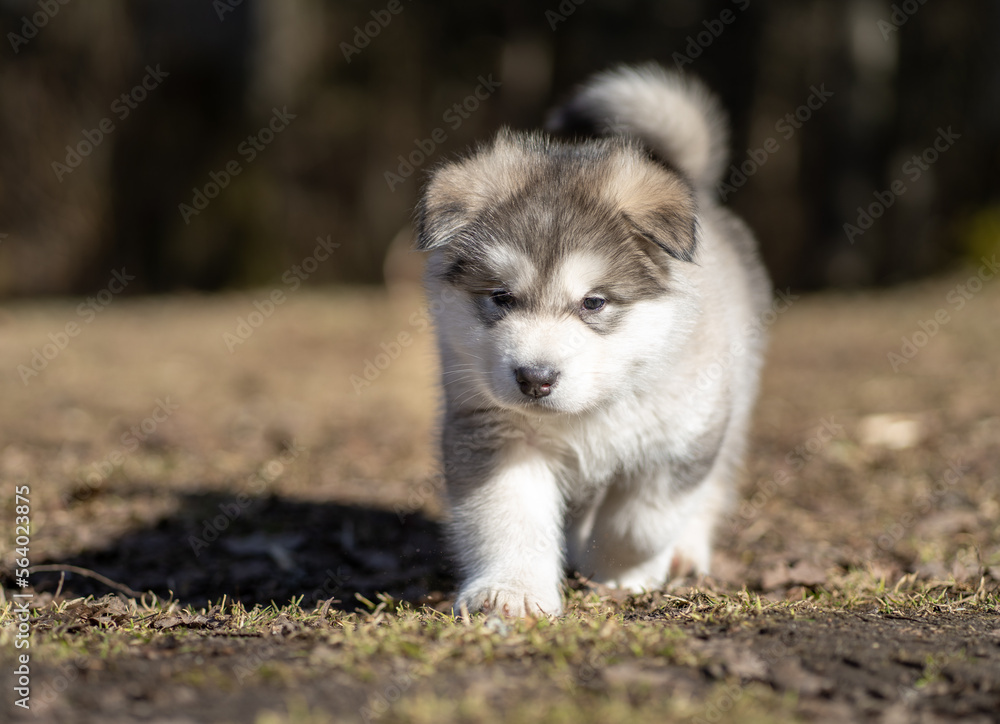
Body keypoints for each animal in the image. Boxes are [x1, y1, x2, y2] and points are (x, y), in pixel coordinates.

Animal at [414, 63, 772, 616]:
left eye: (594, 302)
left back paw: (684, 552)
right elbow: (508, 518)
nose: (534, 379)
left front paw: (620, 572)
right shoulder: (495, 434)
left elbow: (639, 523)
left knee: (710, 489)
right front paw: (512, 594)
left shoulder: (684, 435)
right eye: (500, 296)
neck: (590, 409)